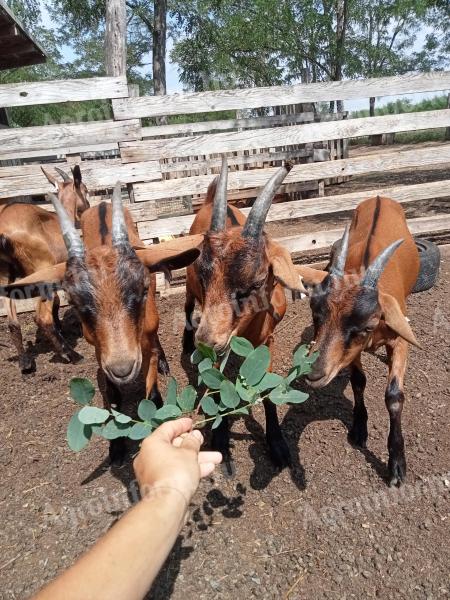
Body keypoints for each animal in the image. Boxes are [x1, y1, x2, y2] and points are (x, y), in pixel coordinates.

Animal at [0, 164, 89, 370]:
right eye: (86, 189)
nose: (88, 208)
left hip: (5, 274)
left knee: (13, 321)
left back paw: (25, 362)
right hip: (40, 271)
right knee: (41, 318)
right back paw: (71, 354)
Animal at [4, 185, 202, 466]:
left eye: (142, 290)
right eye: (75, 301)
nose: (122, 368)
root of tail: (102, 204)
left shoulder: (145, 343)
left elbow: (151, 387)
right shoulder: (101, 352)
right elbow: (113, 396)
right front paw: (116, 447)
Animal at [183, 157, 306, 472]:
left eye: (257, 281)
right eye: (204, 275)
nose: (205, 341)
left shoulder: (267, 341)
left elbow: (266, 390)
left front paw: (277, 445)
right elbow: (216, 381)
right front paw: (221, 442)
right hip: (188, 289)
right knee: (187, 307)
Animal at [298, 197, 422, 488]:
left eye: (365, 326)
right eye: (315, 314)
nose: (314, 373)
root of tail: (378, 197)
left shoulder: (398, 341)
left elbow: (394, 395)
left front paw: (396, 466)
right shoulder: (350, 352)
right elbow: (358, 381)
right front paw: (359, 428)